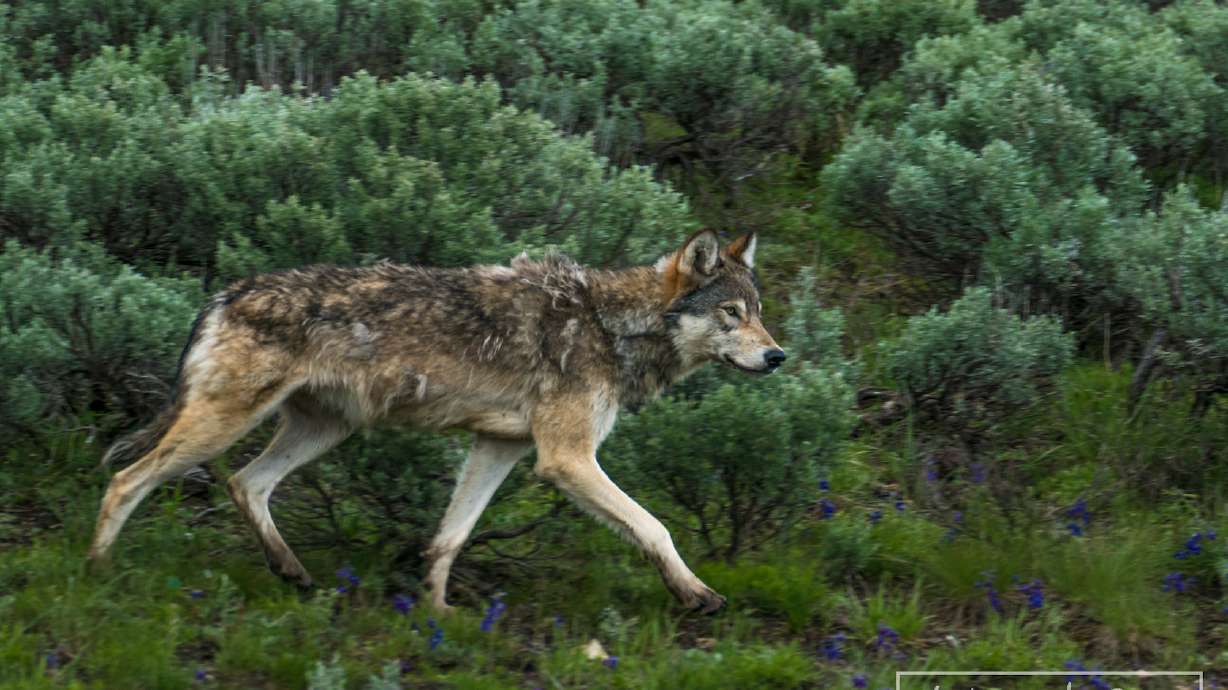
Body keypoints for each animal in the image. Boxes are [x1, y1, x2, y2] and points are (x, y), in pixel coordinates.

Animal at [87, 230, 785, 613]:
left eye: (757, 312)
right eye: (730, 315)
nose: (778, 356)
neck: (610, 326)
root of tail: (221, 295)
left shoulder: (499, 447)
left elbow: (449, 538)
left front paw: (438, 611)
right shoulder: (565, 460)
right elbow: (656, 527)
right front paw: (696, 595)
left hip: (320, 431)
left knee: (246, 484)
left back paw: (292, 572)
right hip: (222, 426)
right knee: (125, 480)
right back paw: (94, 572)